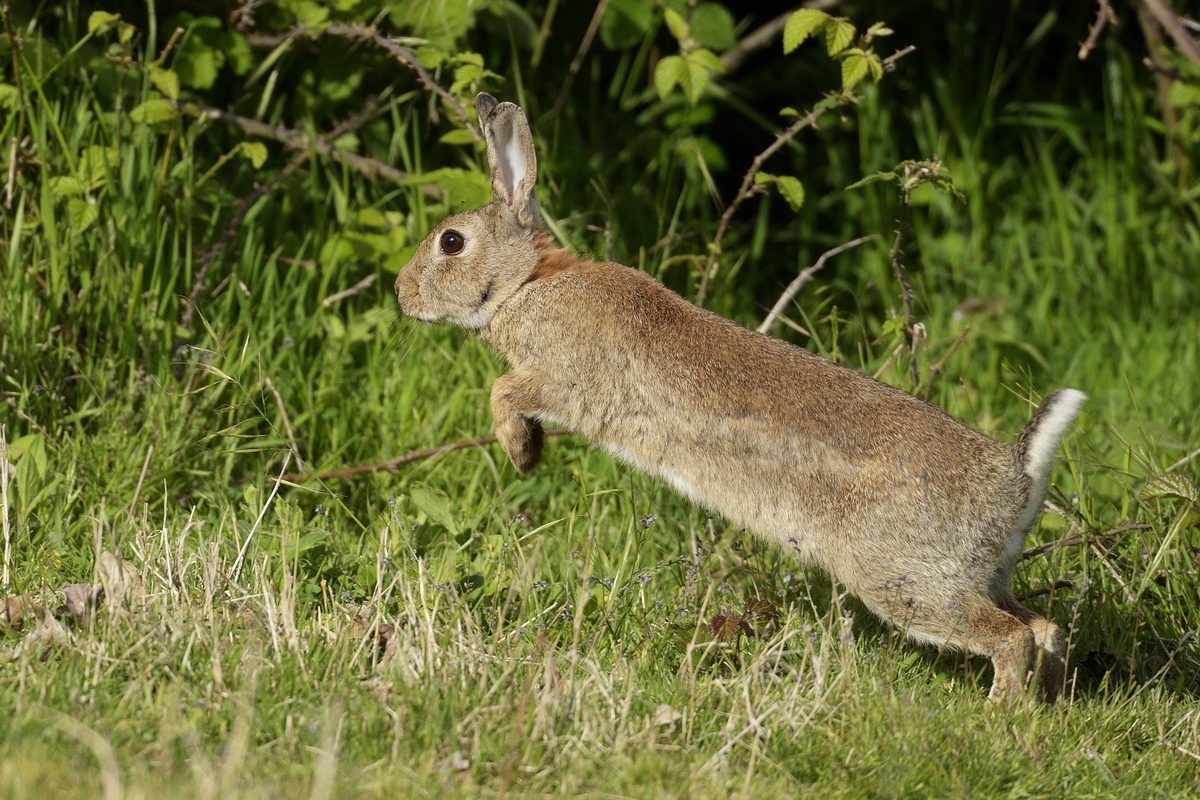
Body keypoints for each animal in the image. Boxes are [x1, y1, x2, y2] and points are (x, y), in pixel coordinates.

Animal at [396, 94, 1089, 705]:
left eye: (451, 242)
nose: (402, 295)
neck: (527, 284)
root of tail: (1015, 474)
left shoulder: (563, 379)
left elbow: (505, 390)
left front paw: (521, 453)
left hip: (906, 574)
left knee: (1010, 637)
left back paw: (1000, 715)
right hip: (982, 572)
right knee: (1044, 627)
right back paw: (1044, 710)